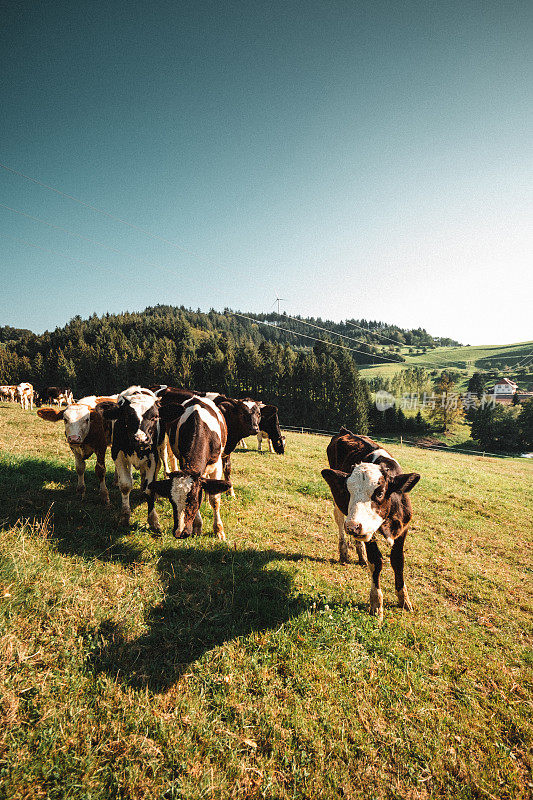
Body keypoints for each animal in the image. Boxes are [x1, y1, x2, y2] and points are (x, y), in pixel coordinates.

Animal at [98, 386, 163, 532]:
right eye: (127, 416)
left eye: (155, 416)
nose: (141, 439)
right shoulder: (117, 453)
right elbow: (126, 485)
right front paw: (125, 517)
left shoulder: (153, 456)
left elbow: (150, 487)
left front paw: (153, 520)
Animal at [151, 396, 232, 540]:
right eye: (172, 501)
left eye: (193, 500)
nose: (180, 532)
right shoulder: (183, 461)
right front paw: (197, 526)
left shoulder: (217, 465)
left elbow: (215, 499)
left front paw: (219, 530)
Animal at [320, 428, 420, 620]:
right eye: (347, 492)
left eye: (380, 493)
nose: (353, 526)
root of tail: (345, 431)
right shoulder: (368, 532)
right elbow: (376, 562)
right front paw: (376, 603)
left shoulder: (403, 528)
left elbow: (398, 561)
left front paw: (404, 599)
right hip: (339, 506)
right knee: (339, 520)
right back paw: (344, 552)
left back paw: (361, 555)